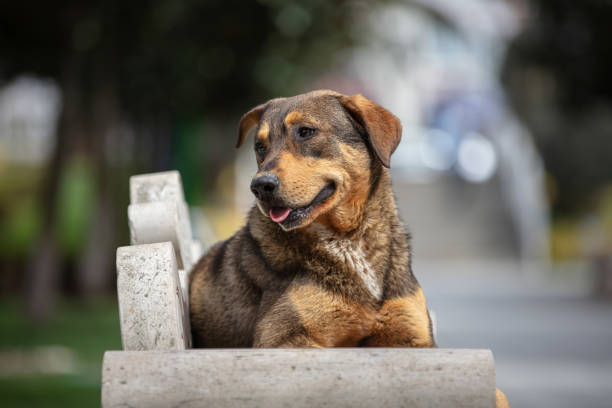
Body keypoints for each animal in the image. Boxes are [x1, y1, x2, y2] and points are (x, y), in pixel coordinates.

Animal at [189, 91, 510, 408]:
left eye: (306, 132)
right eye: (259, 147)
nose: (259, 186)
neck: (349, 240)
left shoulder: (416, 341)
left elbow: (499, 394)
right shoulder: (281, 340)